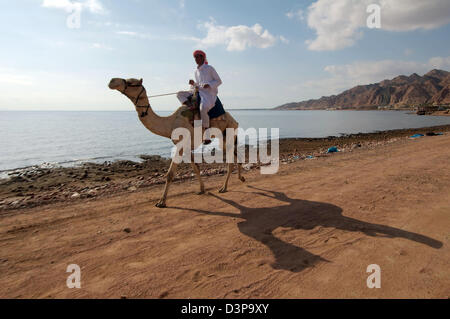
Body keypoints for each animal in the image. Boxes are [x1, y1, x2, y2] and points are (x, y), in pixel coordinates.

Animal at [108, 77, 246, 208]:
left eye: (131, 82)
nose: (112, 81)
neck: (169, 124)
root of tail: (235, 120)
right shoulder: (186, 147)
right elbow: (196, 168)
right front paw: (201, 189)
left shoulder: (181, 145)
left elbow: (170, 174)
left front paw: (161, 202)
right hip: (224, 137)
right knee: (236, 154)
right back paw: (241, 178)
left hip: (228, 132)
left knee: (230, 161)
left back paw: (224, 187)